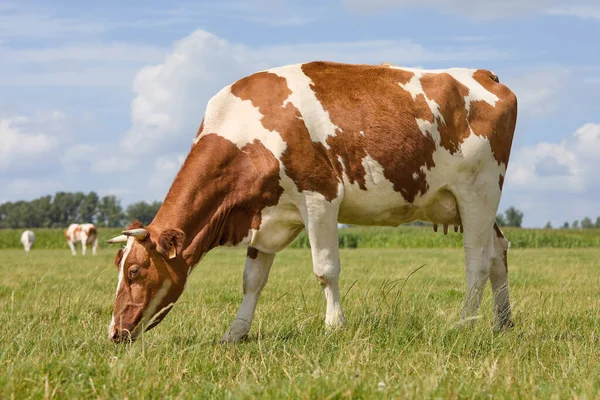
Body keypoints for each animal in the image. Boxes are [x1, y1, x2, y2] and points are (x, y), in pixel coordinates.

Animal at [105, 61, 516, 342]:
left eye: (135, 271)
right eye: (120, 269)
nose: (114, 333)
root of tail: (484, 74)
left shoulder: (320, 197)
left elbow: (325, 269)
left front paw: (334, 325)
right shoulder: (264, 215)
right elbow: (252, 280)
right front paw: (236, 332)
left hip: (478, 192)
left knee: (477, 261)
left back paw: (464, 323)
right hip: (468, 203)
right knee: (498, 251)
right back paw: (503, 323)